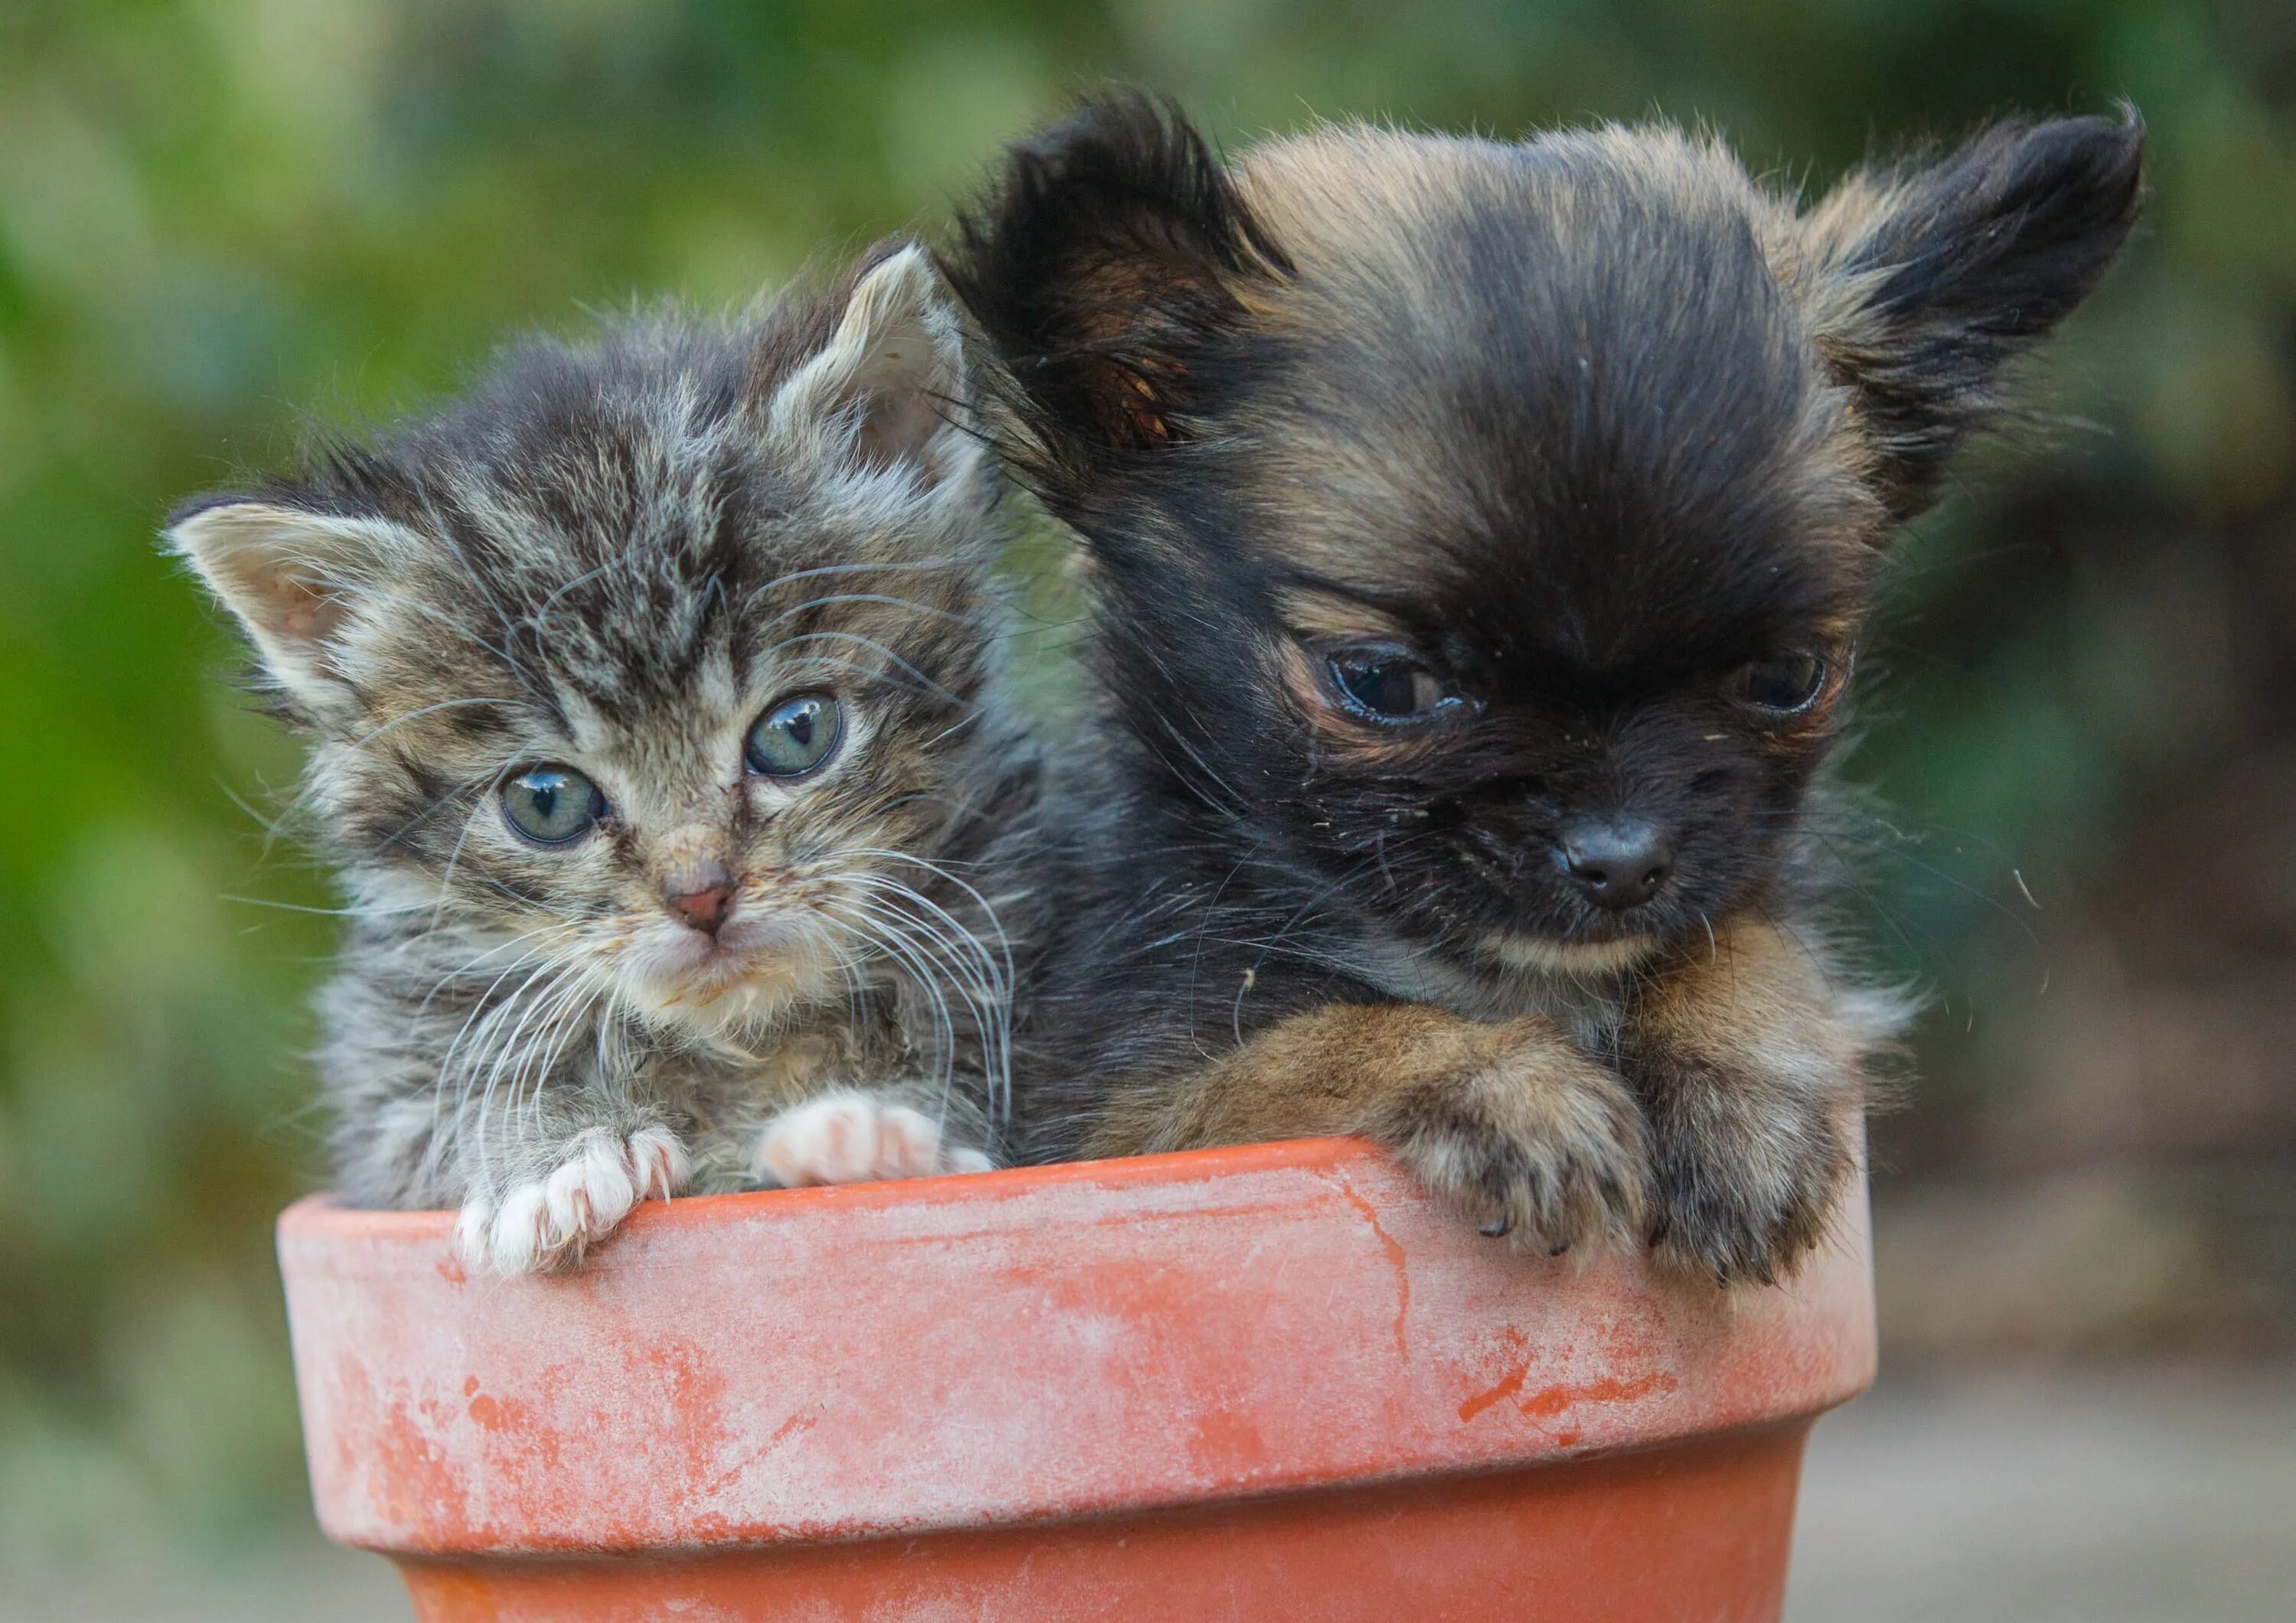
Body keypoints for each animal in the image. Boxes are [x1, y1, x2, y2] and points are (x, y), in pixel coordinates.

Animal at [174, 248, 1038, 1276]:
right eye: (545, 802)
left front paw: (876, 1130)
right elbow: (438, 1106)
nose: (702, 897)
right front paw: (550, 1158)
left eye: (796, 733)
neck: (733, 1038)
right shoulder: (388, 1069)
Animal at [946, 92, 2131, 1286]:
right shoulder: (1122, 1125)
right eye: (1381, 683)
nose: (1621, 858)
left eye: (1789, 677)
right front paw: (1496, 1083)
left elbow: (1744, 938)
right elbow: (1299, 1052)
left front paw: (1743, 1084)